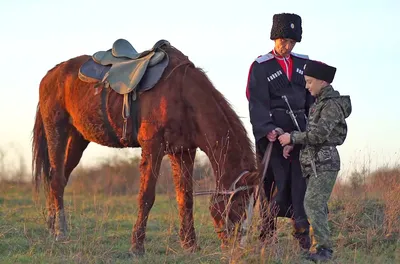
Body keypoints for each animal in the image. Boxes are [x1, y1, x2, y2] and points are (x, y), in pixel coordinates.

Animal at [32, 39, 260, 256]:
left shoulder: (183, 151)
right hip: (57, 131)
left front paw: (189, 245)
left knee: (58, 178)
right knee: (57, 179)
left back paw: (52, 226)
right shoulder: (153, 147)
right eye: (240, 204)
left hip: (78, 139)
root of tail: (50, 75)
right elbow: (146, 197)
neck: (183, 94)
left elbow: (185, 197)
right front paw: (137, 246)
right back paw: (60, 231)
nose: (237, 249)